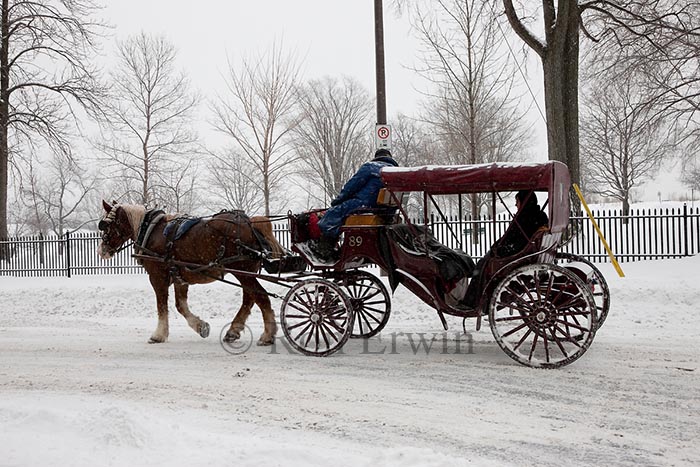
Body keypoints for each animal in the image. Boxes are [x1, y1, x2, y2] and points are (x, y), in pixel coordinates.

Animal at [96, 201, 284, 348]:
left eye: (106, 225)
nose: (101, 251)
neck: (150, 229)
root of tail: (250, 223)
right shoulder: (180, 278)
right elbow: (181, 306)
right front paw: (201, 327)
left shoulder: (157, 276)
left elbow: (162, 306)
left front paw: (158, 335)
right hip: (246, 272)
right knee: (250, 298)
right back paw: (233, 331)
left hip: (242, 271)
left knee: (261, 297)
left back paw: (267, 335)